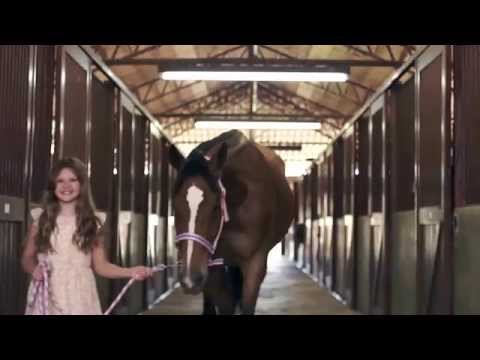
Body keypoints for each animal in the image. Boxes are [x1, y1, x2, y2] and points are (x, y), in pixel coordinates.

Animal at [171, 130, 294, 316]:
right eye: (174, 204)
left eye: (216, 206)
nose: (190, 279)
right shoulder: (212, 266)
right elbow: (224, 304)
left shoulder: (255, 263)